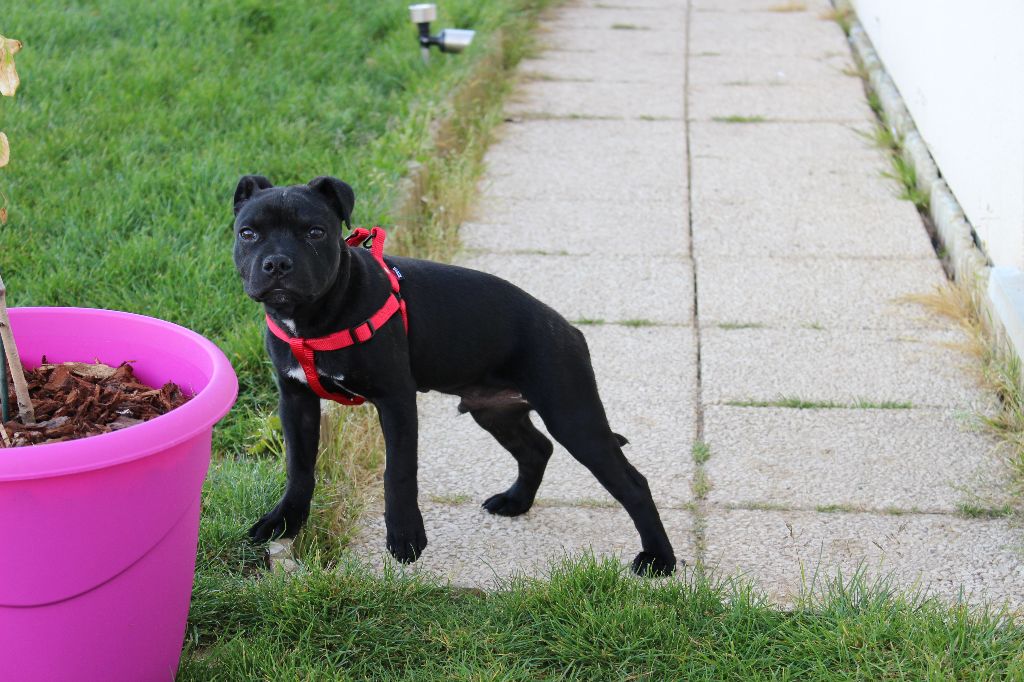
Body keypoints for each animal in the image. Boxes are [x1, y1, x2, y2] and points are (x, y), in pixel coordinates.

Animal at [234, 173, 675, 569]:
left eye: (315, 232)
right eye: (248, 234)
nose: (277, 263)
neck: (311, 321)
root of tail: (568, 328)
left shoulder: (396, 401)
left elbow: (399, 473)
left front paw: (405, 537)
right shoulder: (296, 401)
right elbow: (299, 467)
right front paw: (284, 522)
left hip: (572, 414)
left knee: (631, 483)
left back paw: (659, 558)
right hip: (495, 412)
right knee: (537, 448)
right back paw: (516, 501)